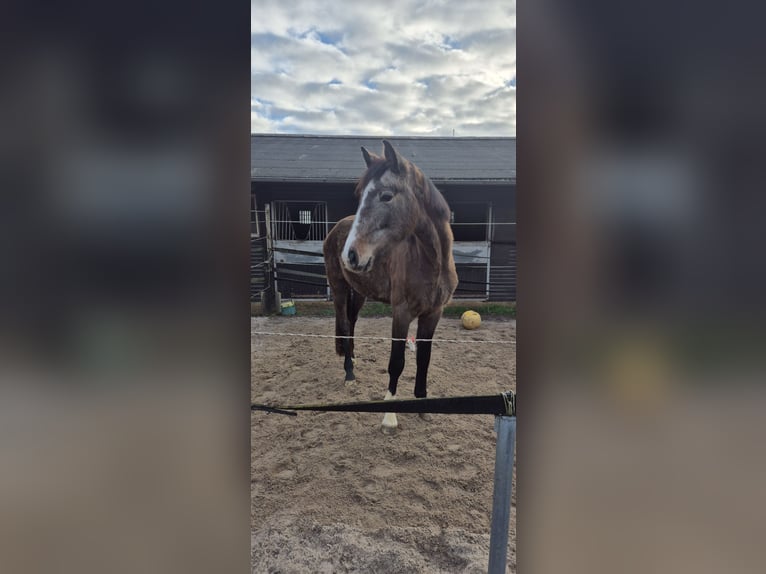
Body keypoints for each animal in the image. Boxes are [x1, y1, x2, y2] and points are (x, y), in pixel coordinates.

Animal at [323, 140, 459, 433]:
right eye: (360, 195)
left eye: (386, 196)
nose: (351, 255)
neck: (431, 262)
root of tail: (335, 229)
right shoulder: (402, 312)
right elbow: (397, 362)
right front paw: (389, 417)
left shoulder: (433, 314)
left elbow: (424, 358)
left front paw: (423, 405)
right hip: (339, 288)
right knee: (343, 323)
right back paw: (349, 373)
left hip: (359, 292)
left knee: (351, 322)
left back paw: (353, 359)